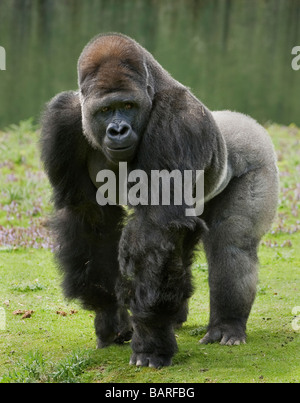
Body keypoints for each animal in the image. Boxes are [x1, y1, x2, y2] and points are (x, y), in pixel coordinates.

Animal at [40, 34, 278, 370]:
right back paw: (177, 317)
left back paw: (227, 325)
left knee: (231, 243)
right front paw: (110, 316)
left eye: (128, 106)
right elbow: (89, 216)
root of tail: (240, 119)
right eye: (106, 110)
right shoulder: (62, 121)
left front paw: (151, 340)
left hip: (258, 155)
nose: (118, 129)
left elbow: (159, 226)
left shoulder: (177, 122)